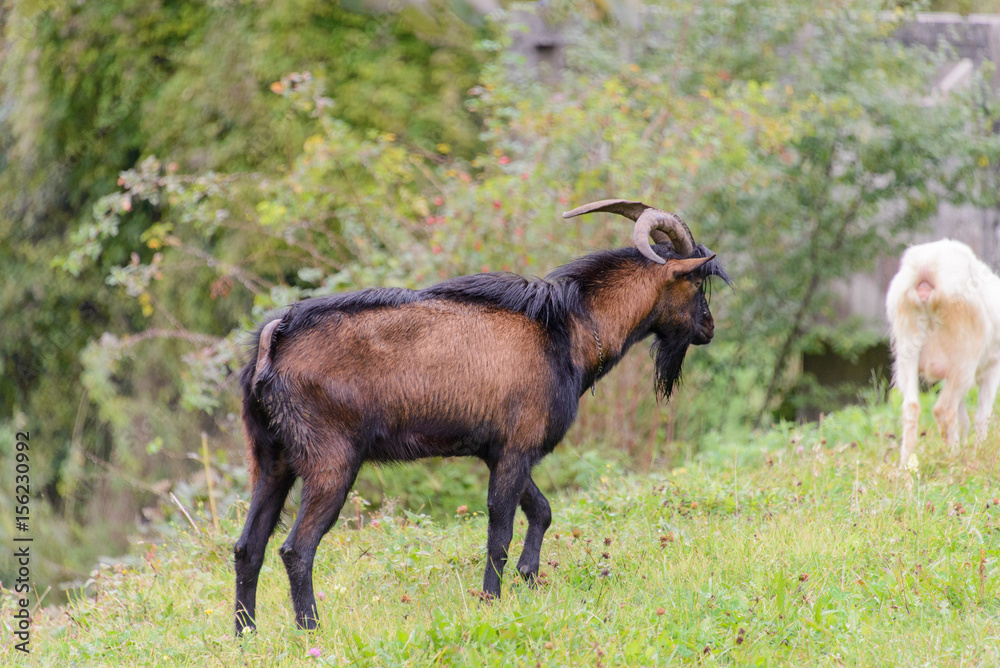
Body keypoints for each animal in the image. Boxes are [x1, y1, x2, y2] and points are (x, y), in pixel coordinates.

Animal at [233, 199, 730, 632]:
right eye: (694, 283)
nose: (708, 326)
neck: (566, 328)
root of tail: (275, 339)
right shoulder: (516, 447)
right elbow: (500, 530)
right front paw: (491, 600)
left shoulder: (501, 449)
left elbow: (542, 510)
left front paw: (530, 576)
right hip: (330, 462)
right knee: (296, 549)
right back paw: (310, 630)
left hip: (271, 458)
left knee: (247, 547)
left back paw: (246, 634)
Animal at [886, 239, 1000, 467]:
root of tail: (926, 267)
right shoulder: (993, 367)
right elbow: (982, 416)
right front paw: (978, 452)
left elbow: (964, 417)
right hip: (964, 357)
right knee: (944, 409)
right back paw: (954, 459)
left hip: (907, 347)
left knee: (911, 407)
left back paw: (904, 467)